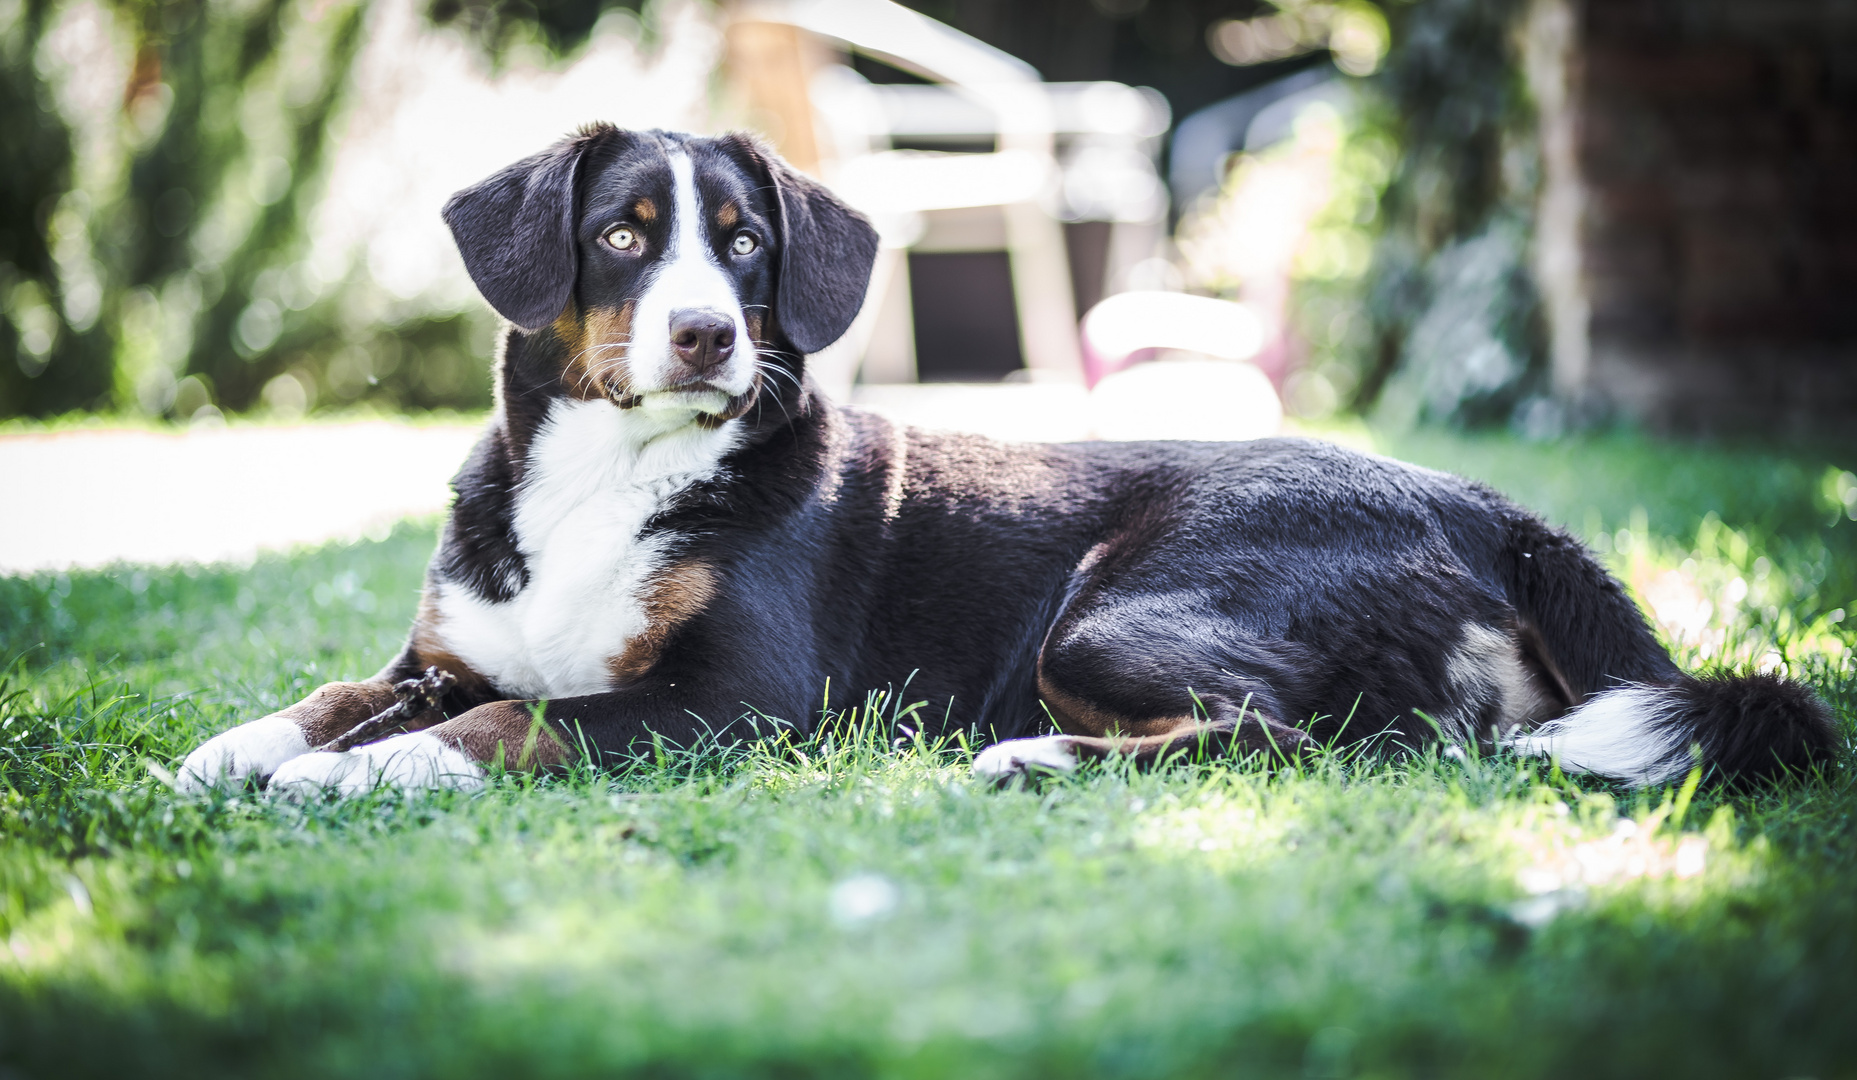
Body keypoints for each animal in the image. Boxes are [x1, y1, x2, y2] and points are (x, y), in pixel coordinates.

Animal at [174, 127, 1827, 801]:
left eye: (748, 245)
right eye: (625, 236)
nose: (704, 336)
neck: (608, 472)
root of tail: (1481, 504)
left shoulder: (731, 703)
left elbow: (512, 723)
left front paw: (363, 775)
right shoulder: (450, 645)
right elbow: (351, 689)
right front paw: (235, 749)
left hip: (1107, 616)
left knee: (1293, 739)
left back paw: (1033, 757)